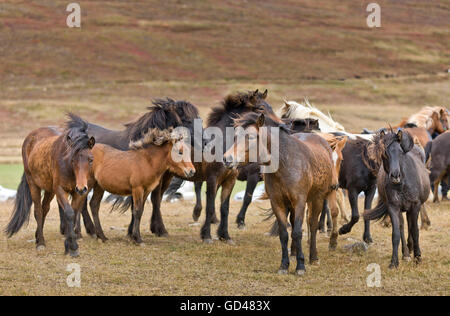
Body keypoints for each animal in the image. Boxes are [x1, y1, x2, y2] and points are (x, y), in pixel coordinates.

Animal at [5, 113, 95, 256]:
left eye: (90, 159)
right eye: (73, 159)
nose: (82, 188)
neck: (69, 168)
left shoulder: (77, 193)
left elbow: (74, 212)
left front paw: (69, 244)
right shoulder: (60, 190)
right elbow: (69, 213)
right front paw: (72, 247)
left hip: (49, 190)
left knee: (44, 209)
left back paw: (38, 237)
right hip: (34, 185)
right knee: (38, 211)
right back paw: (40, 243)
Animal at [224, 112, 338, 276]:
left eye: (251, 137)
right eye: (235, 136)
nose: (227, 159)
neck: (285, 163)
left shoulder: (300, 202)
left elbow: (297, 232)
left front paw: (300, 266)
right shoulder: (277, 203)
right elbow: (284, 233)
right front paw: (284, 265)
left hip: (317, 199)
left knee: (312, 224)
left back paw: (313, 257)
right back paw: (294, 253)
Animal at [362, 130, 428, 268]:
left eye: (401, 152)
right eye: (385, 153)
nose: (395, 176)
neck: (402, 184)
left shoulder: (415, 205)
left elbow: (415, 231)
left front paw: (418, 258)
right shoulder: (393, 207)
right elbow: (396, 233)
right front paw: (394, 262)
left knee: (410, 225)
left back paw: (411, 250)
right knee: (403, 226)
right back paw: (406, 253)